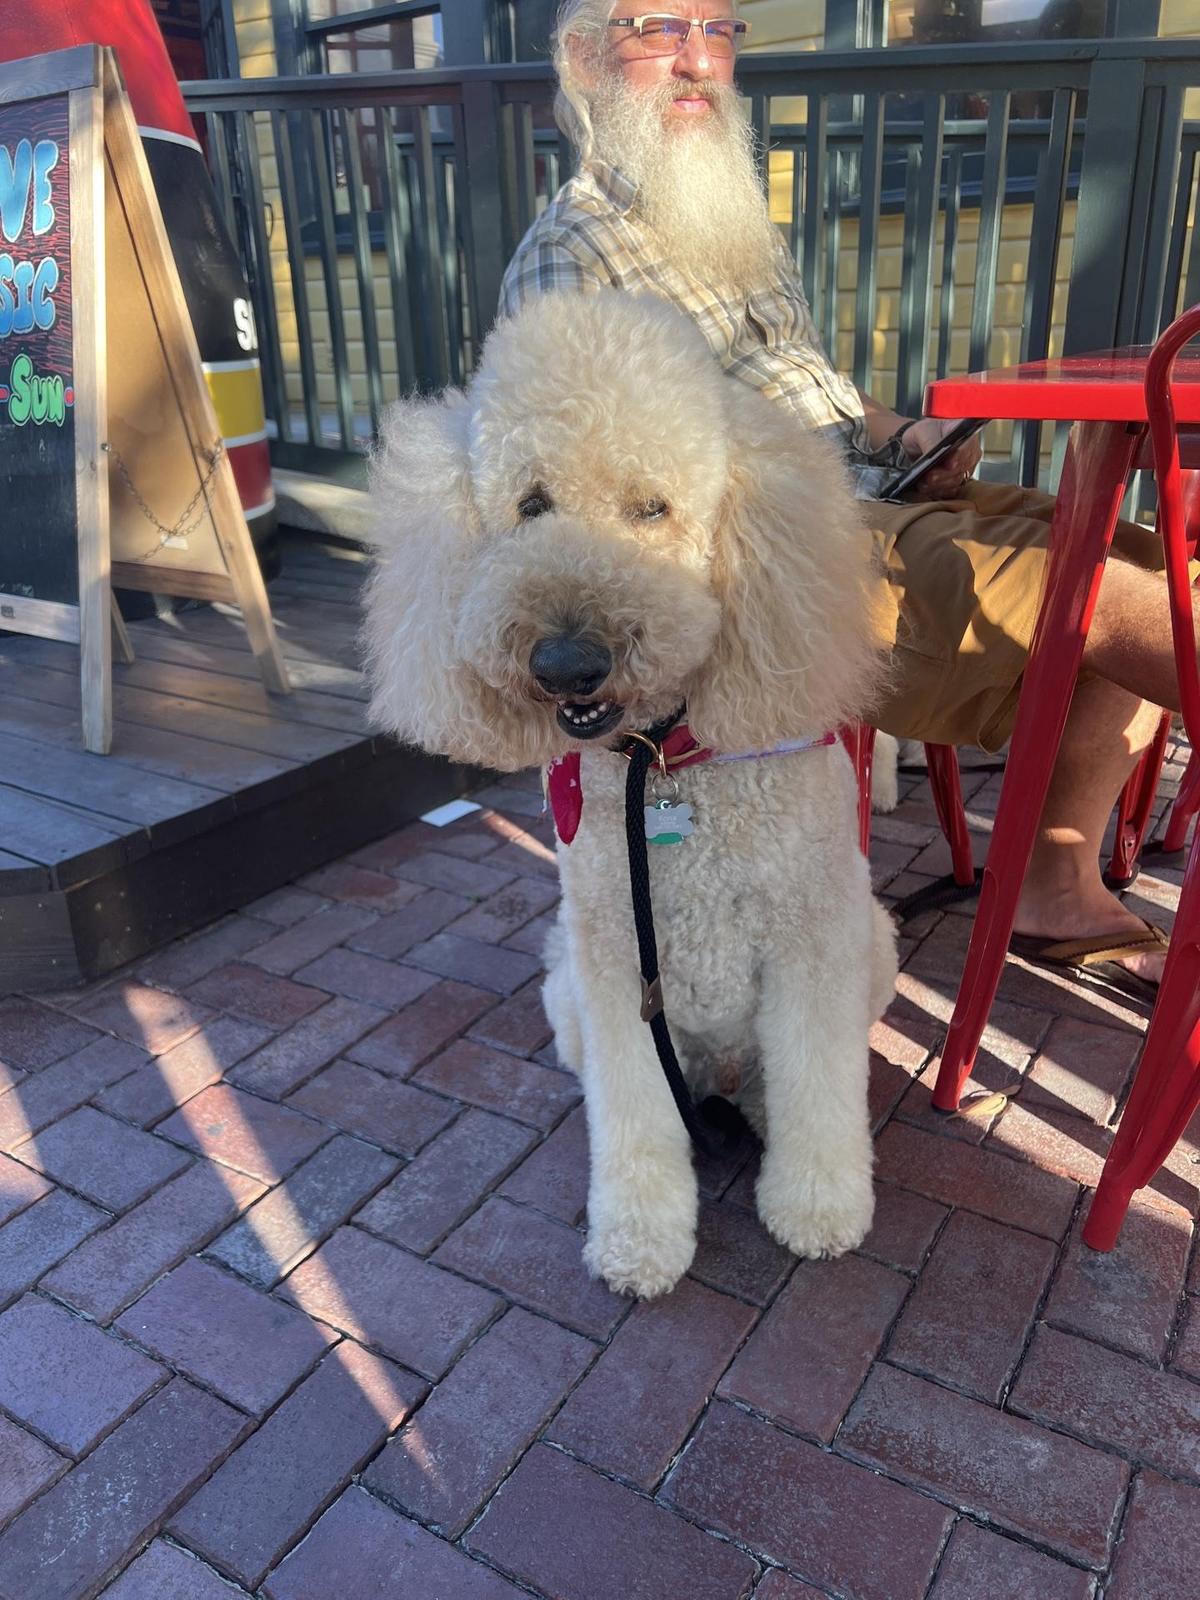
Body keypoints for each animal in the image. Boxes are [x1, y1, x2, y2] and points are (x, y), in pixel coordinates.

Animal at [366, 291, 902, 1299]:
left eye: (653, 507)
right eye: (530, 505)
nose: (566, 661)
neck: (665, 763)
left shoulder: (812, 944)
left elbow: (818, 1085)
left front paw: (817, 1209)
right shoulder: (615, 961)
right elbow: (635, 1117)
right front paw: (640, 1240)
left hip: (872, 948)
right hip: (567, 987)